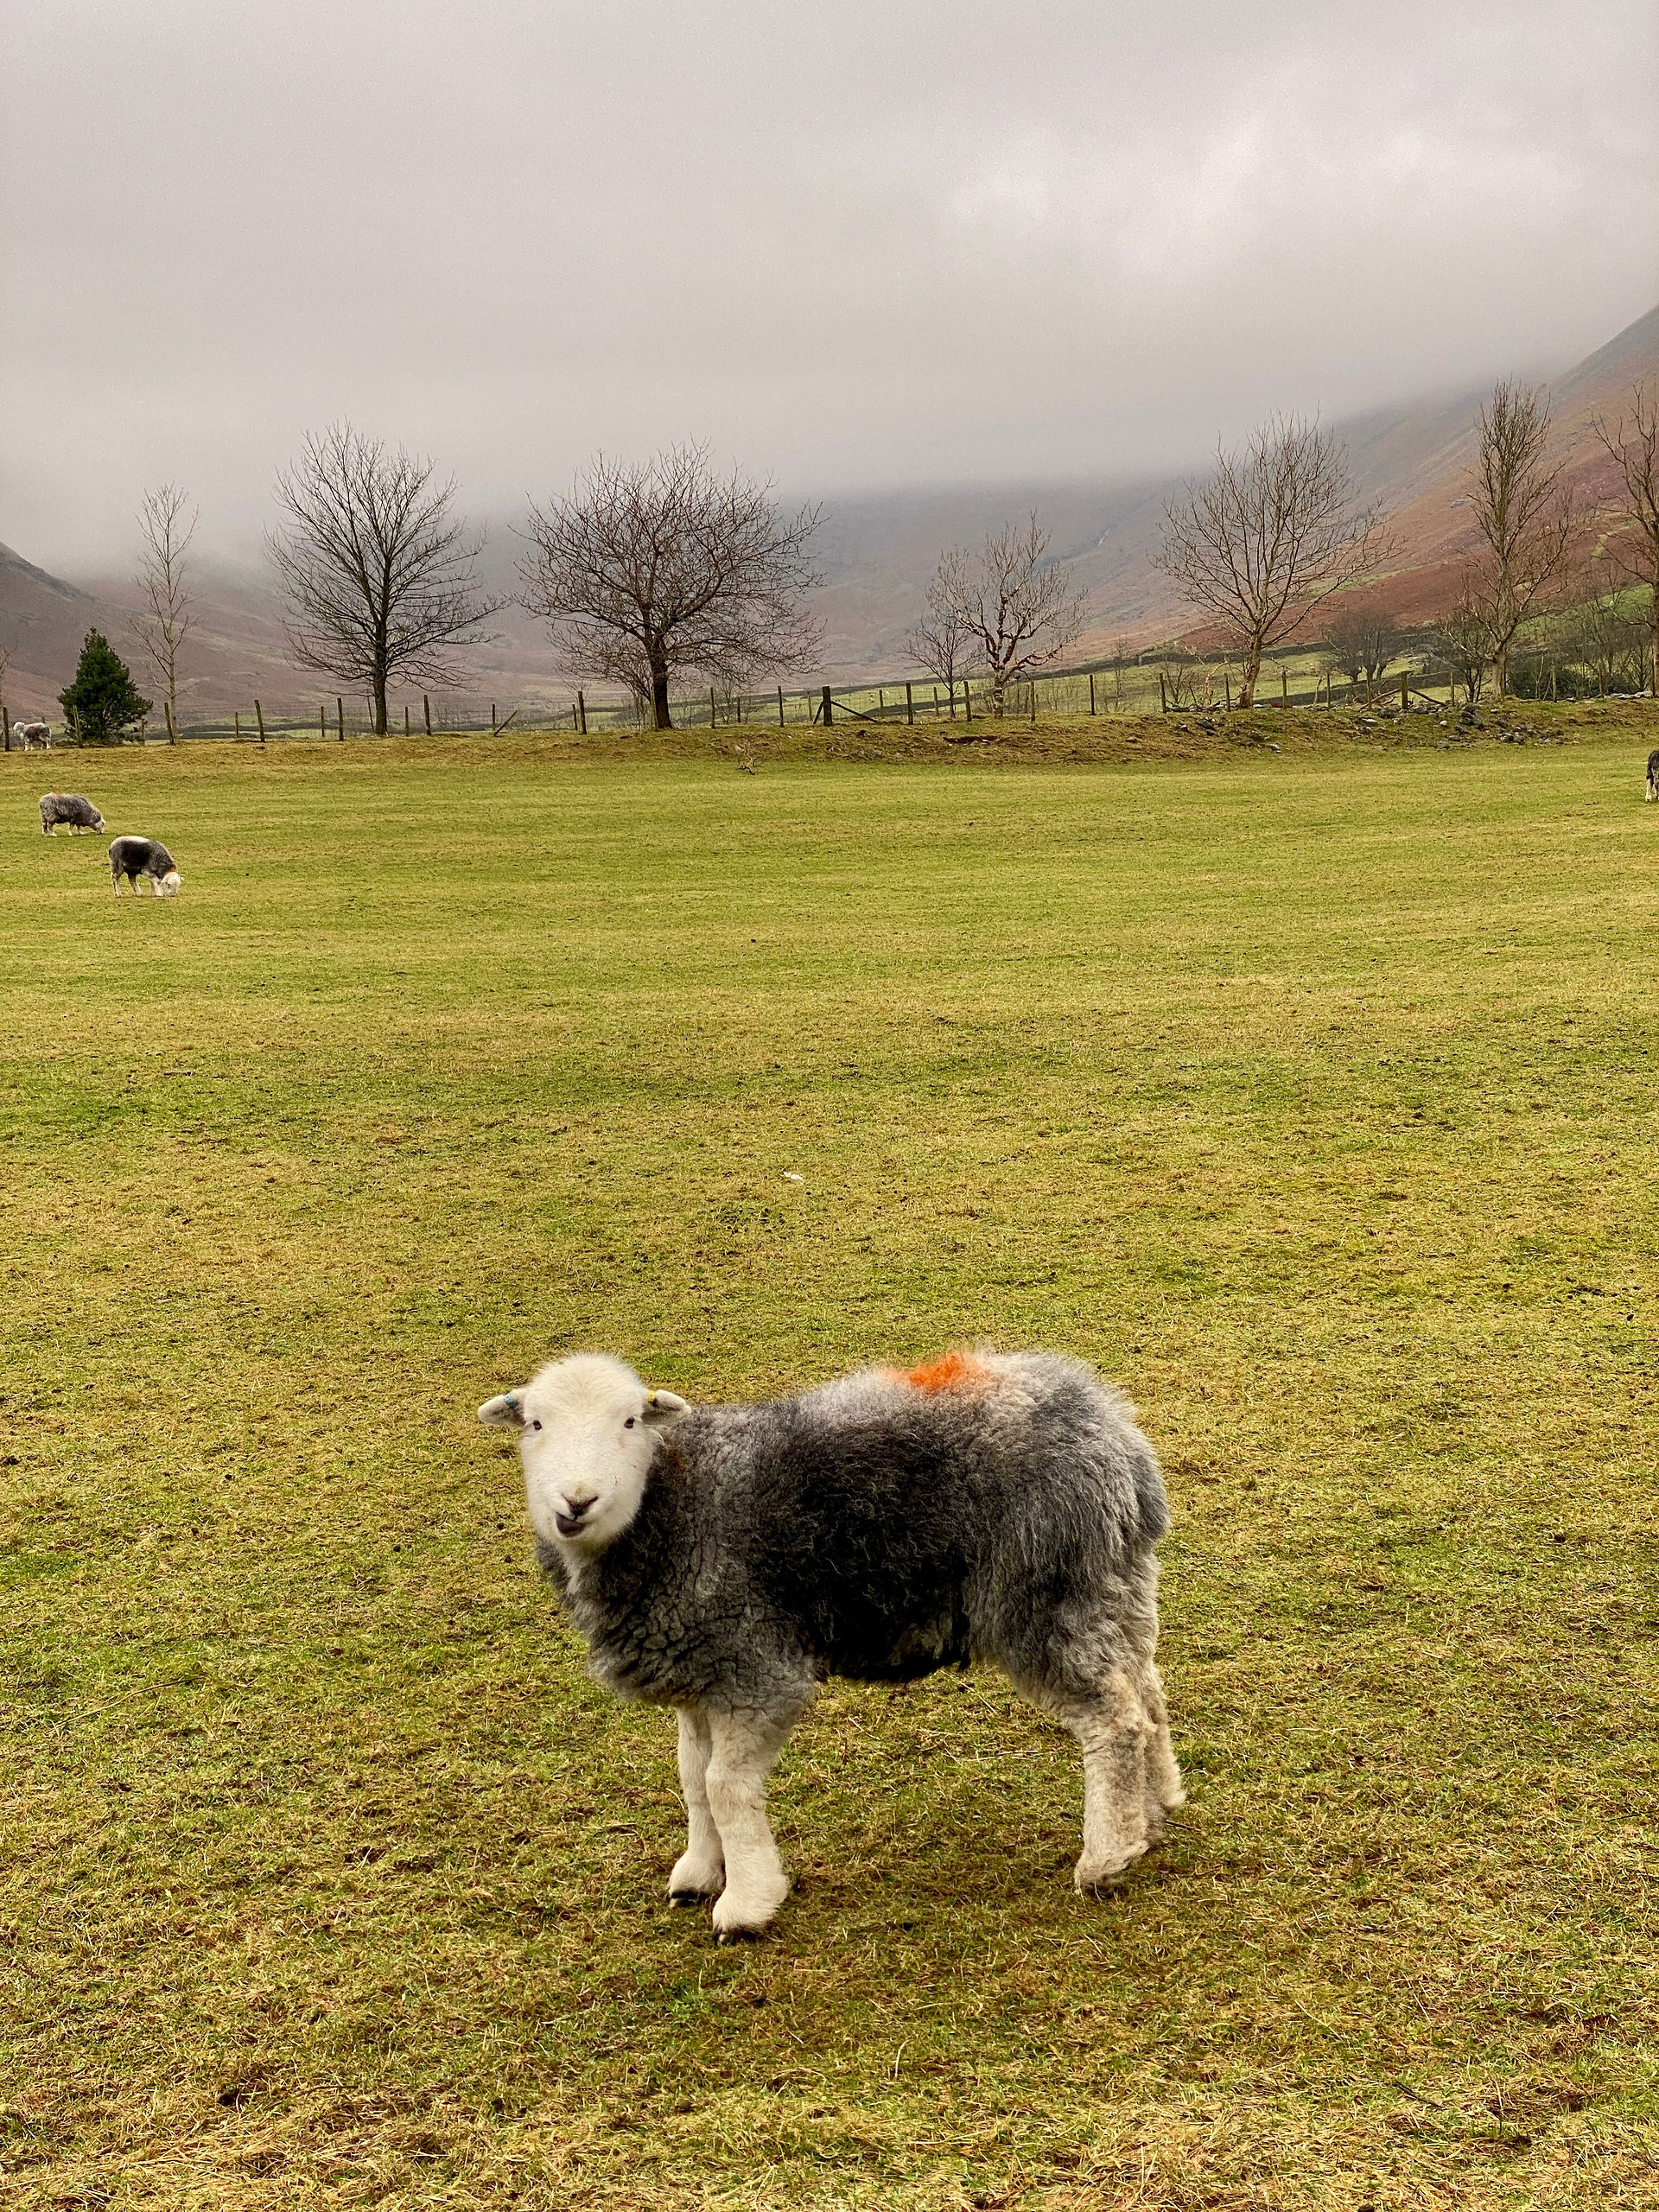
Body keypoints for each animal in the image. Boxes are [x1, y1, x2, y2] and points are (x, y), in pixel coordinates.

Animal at [478, 1347, 1183, 1941]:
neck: (675, 1505)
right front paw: (700, 1872)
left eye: (630, 1421)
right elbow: (692, 1778)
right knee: (1147, 1695)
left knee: (1114, 1721)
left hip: (1046, 1594)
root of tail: (1113, 1431)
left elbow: (724, 1785)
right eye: (534, 1424)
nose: (576, 1500)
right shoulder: (702, 1669)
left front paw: (746, 1903)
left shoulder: (754, 1665)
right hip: (1113, 1585)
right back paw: (1153, 1813)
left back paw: (1106, 1857)